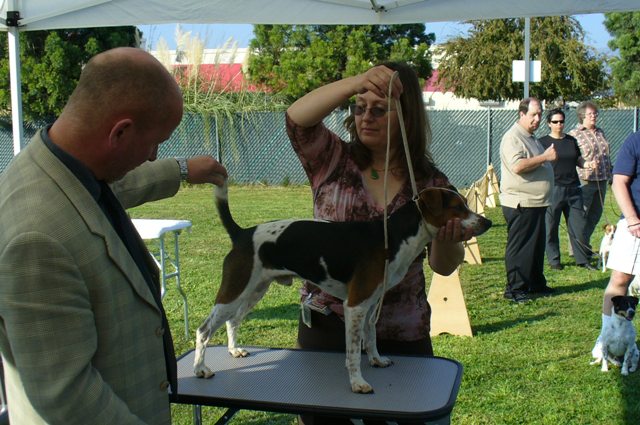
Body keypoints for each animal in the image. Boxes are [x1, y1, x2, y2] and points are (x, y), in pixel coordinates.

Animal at [192, 179, 492, 390]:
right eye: (458, 207)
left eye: (466, 205)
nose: (487, 221)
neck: (392, 238)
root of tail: (242, 233)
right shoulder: (355, 306)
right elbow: (353, 351)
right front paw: (358, 383)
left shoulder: (371, 306)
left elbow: (371, 339)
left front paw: (377, 360)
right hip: (235, 291)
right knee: (204, 329)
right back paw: (200, 369)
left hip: (254, 291)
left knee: (232, 321)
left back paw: (233, 350)